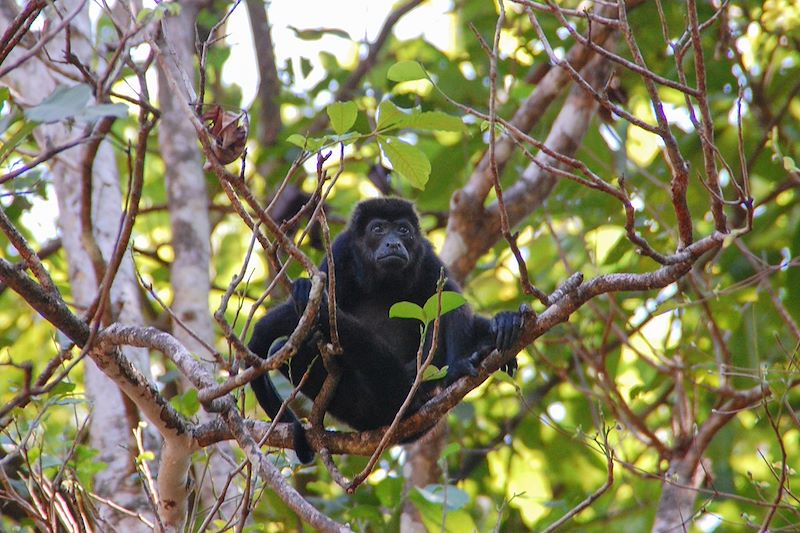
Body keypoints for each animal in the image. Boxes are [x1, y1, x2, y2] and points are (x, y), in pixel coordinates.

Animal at [248, 198, 525, 463]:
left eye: (403, 230)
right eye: (378, 229)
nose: (393, 243)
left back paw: (498, 331)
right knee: (289, 348)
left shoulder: (427, 257)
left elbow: (451, 303)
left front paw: (460, 364)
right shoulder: (339, 254)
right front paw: (305, 292)